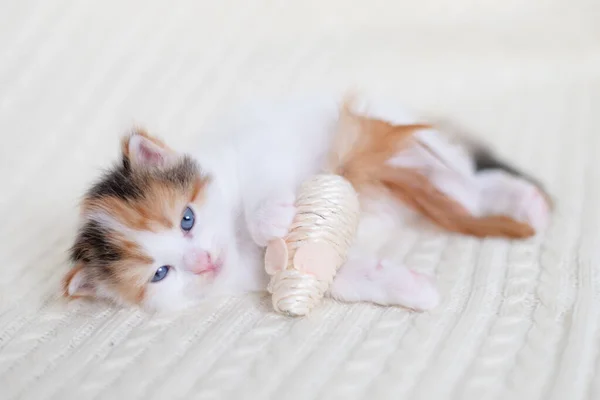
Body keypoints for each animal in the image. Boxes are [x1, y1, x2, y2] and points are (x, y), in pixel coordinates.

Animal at [63, 97, 552, 312]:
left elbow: (262, 182)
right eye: (160, 274)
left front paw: (269, 220)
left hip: (406, 143)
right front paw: (412, 289)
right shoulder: (265, 272)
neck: (234, 242)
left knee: (467, 183)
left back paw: (524, 201)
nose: (204, 261)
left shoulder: (257, 147)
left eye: (187, 219)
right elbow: (335, 272)